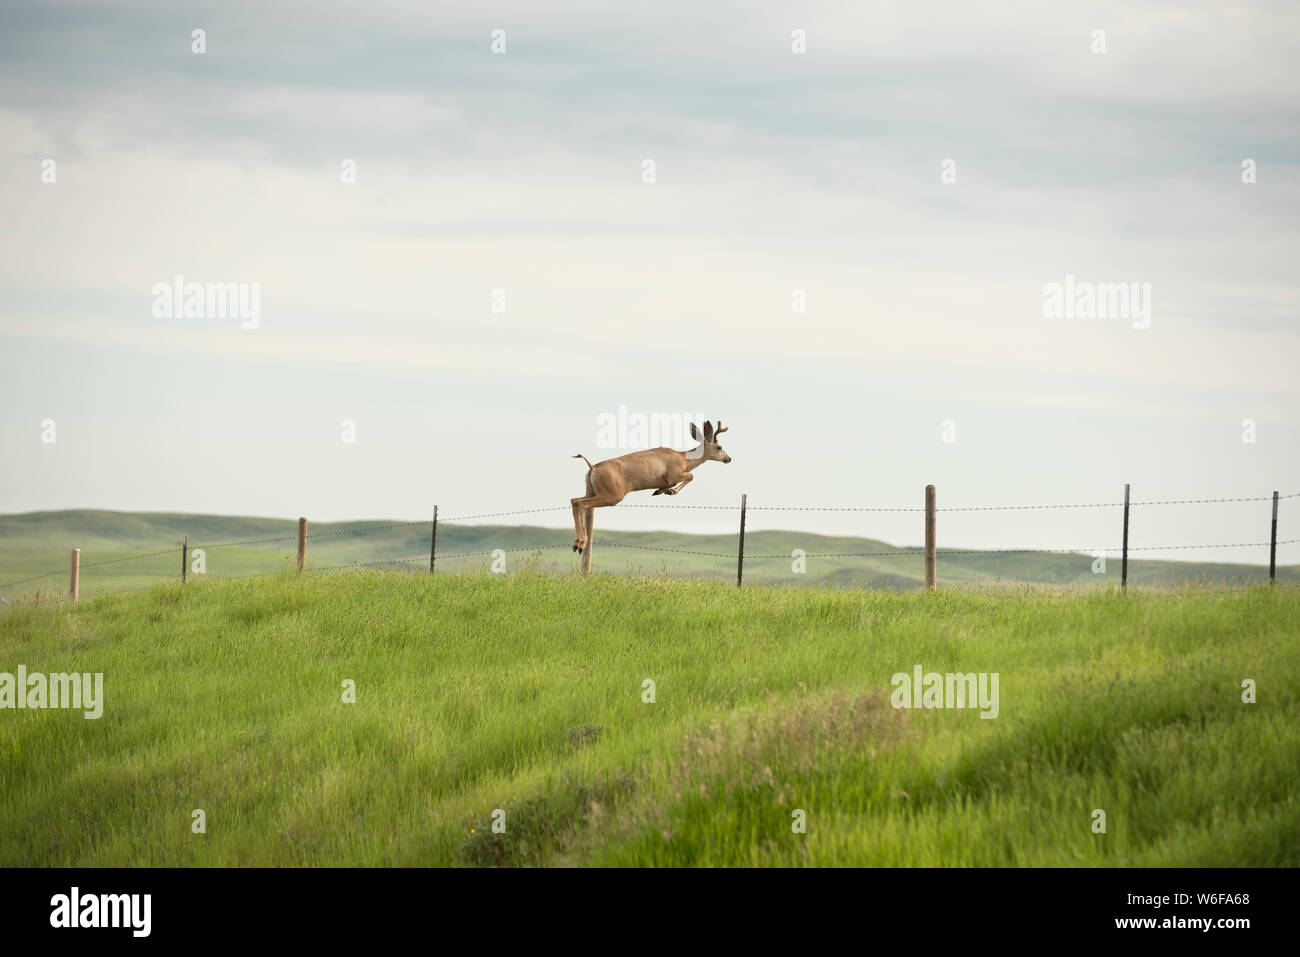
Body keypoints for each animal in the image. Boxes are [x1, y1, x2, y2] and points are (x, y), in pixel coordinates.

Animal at [570, 420, 731, 554]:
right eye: (719, 447)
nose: (728, 458)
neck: (685, 460)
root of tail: (593, 467)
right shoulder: (673, 475)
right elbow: (690, 476)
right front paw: (669, 491)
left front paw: (659, 491)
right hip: (612, 495)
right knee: (581, 504)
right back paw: (580, 544)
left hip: (591, 490)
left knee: (575, 500)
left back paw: (577, 544)